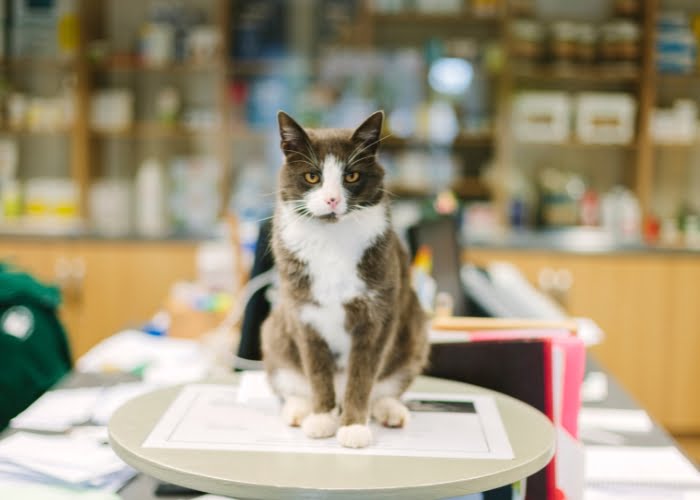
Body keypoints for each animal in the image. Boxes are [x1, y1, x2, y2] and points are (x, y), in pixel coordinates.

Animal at [262, 110, 430, 450]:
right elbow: (316, 371)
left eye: (351, 176)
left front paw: (353, 427)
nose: (331, 200)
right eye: (312, 177)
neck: (331, 240)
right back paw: (299, 409)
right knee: (289, 380)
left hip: (415, 333)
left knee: (387, 384)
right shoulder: (302, 312)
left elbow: (363, 375)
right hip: (273, 333)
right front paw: (322, 418)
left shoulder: (378, 313)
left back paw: (389, 410)